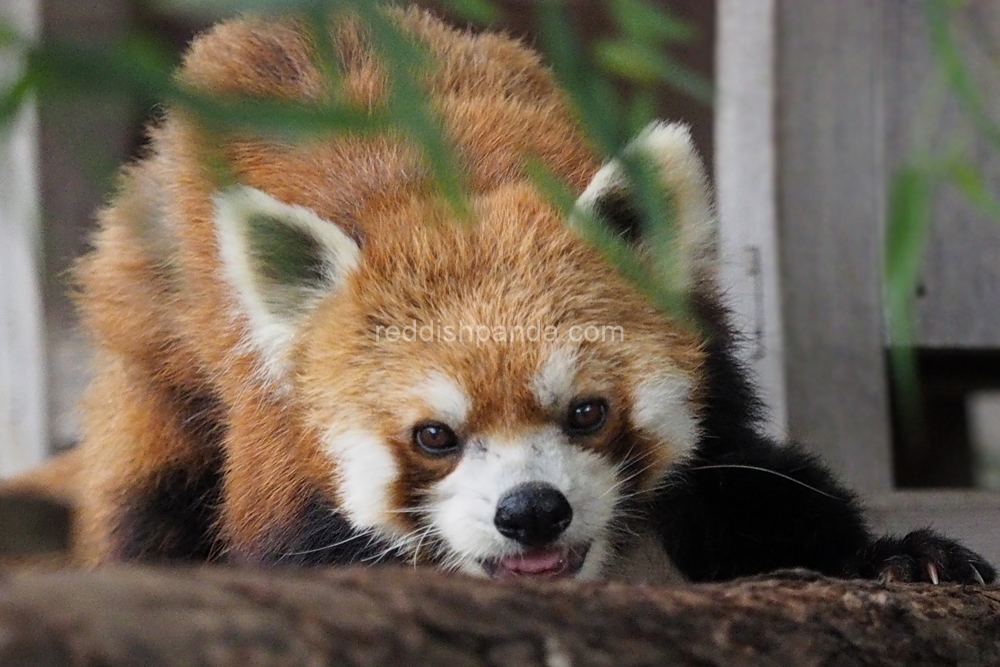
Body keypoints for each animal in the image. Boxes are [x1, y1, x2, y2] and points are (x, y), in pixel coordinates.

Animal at [54, 5, 992, 580]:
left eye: (587, 411)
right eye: (434, 435)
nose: (533, 510)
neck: (441, 199)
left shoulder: (712, 369)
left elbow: (754, 477)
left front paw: (898, 555)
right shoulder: (281, 452)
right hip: (157, 364)